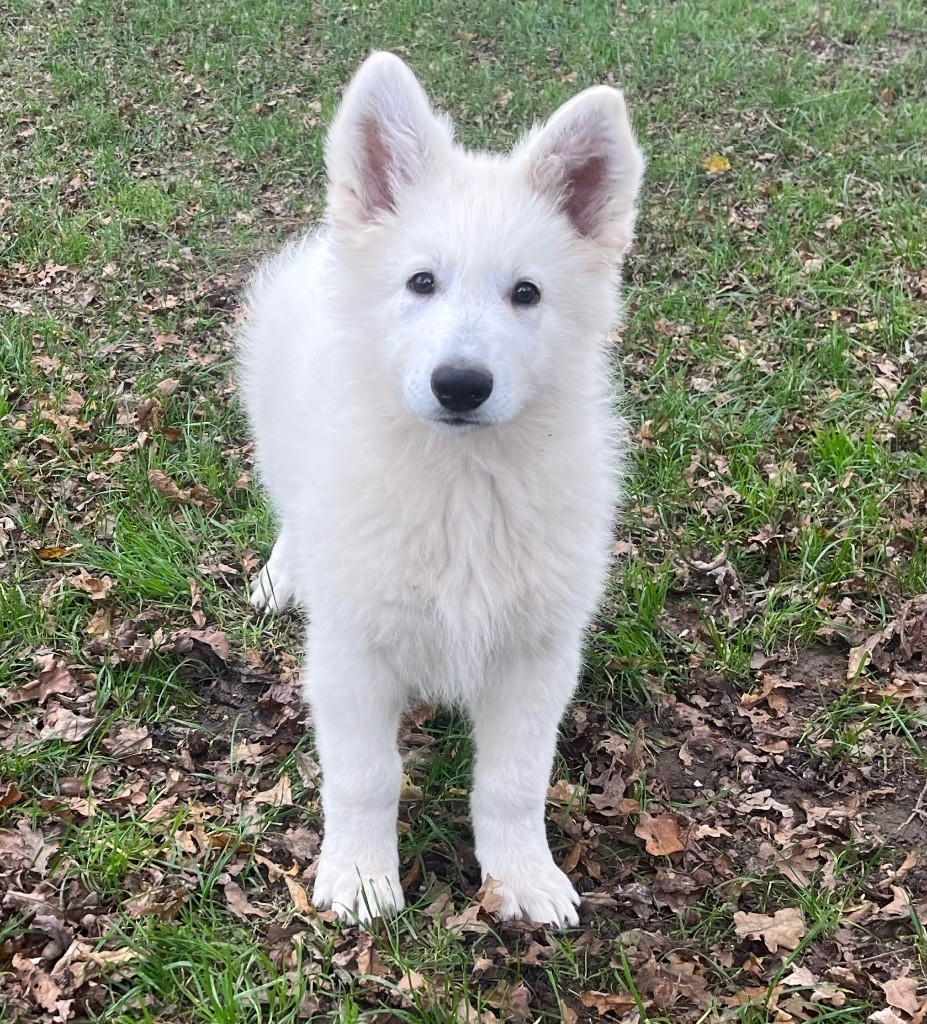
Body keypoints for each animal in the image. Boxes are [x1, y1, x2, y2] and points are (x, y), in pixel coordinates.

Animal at [236, 51, 643, 929]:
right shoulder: (350, 652)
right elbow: (366, 776)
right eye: (421, 281)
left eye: (525, 293)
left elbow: (513, 783)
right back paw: (284, 576)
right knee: (291, 511)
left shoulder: (536, 654)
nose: (459, 385)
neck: (463, 484)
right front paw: (360, 877)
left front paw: (521, 876)